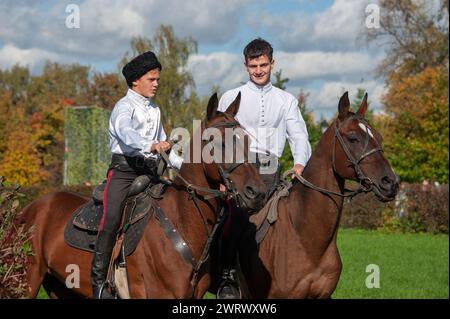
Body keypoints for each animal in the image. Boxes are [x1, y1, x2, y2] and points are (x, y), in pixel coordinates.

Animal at [19, 92, 268, 300]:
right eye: (219, 142)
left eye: (247, 140)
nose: (257, 192)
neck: (181, 221)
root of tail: (28, 209)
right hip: (27, 281)